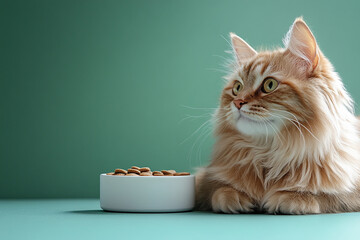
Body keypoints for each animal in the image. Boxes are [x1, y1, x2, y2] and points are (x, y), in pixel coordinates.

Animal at [195, 17, 360, 215]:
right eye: (237, 88)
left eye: (270, 85)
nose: (238, 102)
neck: (270, 152)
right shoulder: (204, 180)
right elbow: (218, 191)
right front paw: (234, 197)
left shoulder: (351, 191)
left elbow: (328, 196)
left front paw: (291, 198)